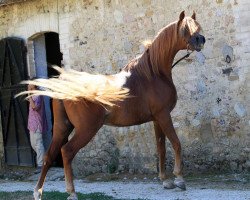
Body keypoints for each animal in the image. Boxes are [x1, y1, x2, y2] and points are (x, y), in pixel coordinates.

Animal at [23, 10, 205, 200]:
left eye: (196, 27)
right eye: (185, 29)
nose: (201, 39)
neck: (153, 74)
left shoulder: (157, 119)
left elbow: (161, 147)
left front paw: (165, 180)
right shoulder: (164, 116)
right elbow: (176, 143)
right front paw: (179, 179)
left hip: (62, 127)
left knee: (49, 156)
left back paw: (38, 191)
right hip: (86, 129)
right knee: (67, 152)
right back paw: (71, 192)